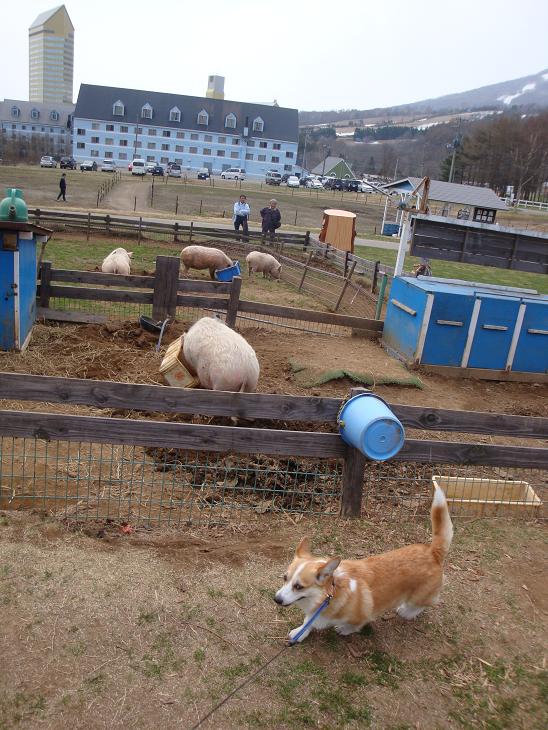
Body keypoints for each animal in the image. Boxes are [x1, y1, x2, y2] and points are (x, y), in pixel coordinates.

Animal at [274, 486, 454, 640]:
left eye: (299, 586)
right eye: (284, 578)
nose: (276, 599)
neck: (330, 593)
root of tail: (433, 551)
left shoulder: (362, 616)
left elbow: (354, 625)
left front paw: (344, 629)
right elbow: (308, 622)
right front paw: (300, 632)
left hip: (420, 596)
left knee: (426, 603)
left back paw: (407, 612)